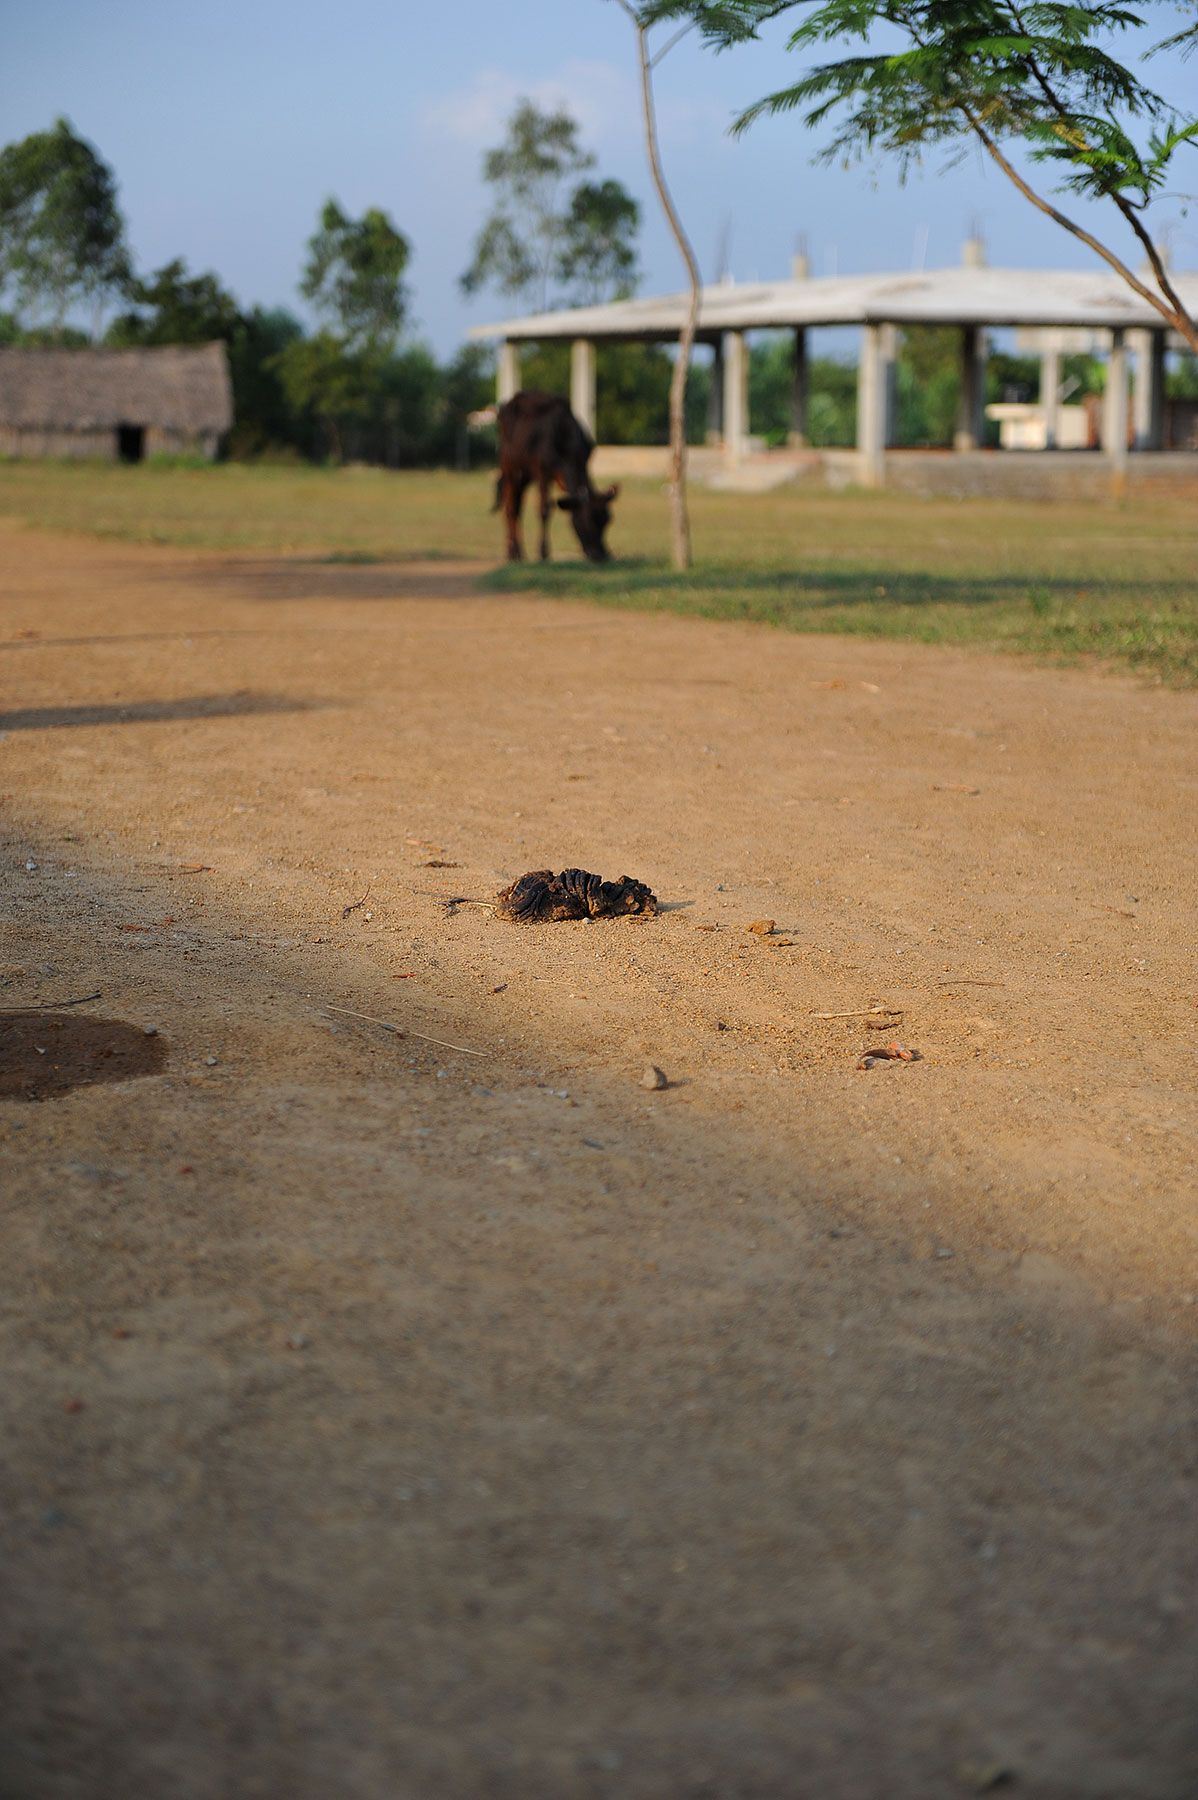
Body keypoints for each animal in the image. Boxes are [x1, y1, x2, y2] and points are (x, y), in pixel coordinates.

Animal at [492, 391, 619, 564]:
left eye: (607, 520)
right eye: (586, 520)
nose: (600, 554)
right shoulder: (542, 472)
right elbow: (544, 509)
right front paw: (543, 553)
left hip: (525, 474)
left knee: (517, 505)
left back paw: (518, 552)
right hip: (509, 465)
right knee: (511, 507)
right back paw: (513, 552)